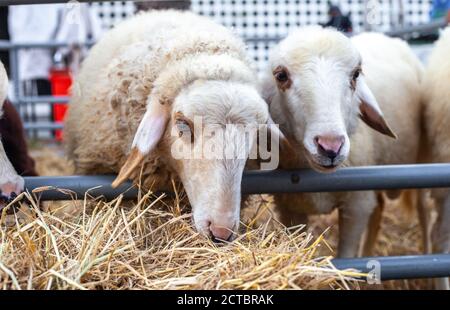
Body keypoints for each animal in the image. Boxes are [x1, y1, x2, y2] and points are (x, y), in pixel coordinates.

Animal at [262, 27, 424, 256]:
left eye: (356, 74)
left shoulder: (356, 204)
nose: (330, 147)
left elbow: (346, 255)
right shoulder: (290, 208)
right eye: (281, 75)